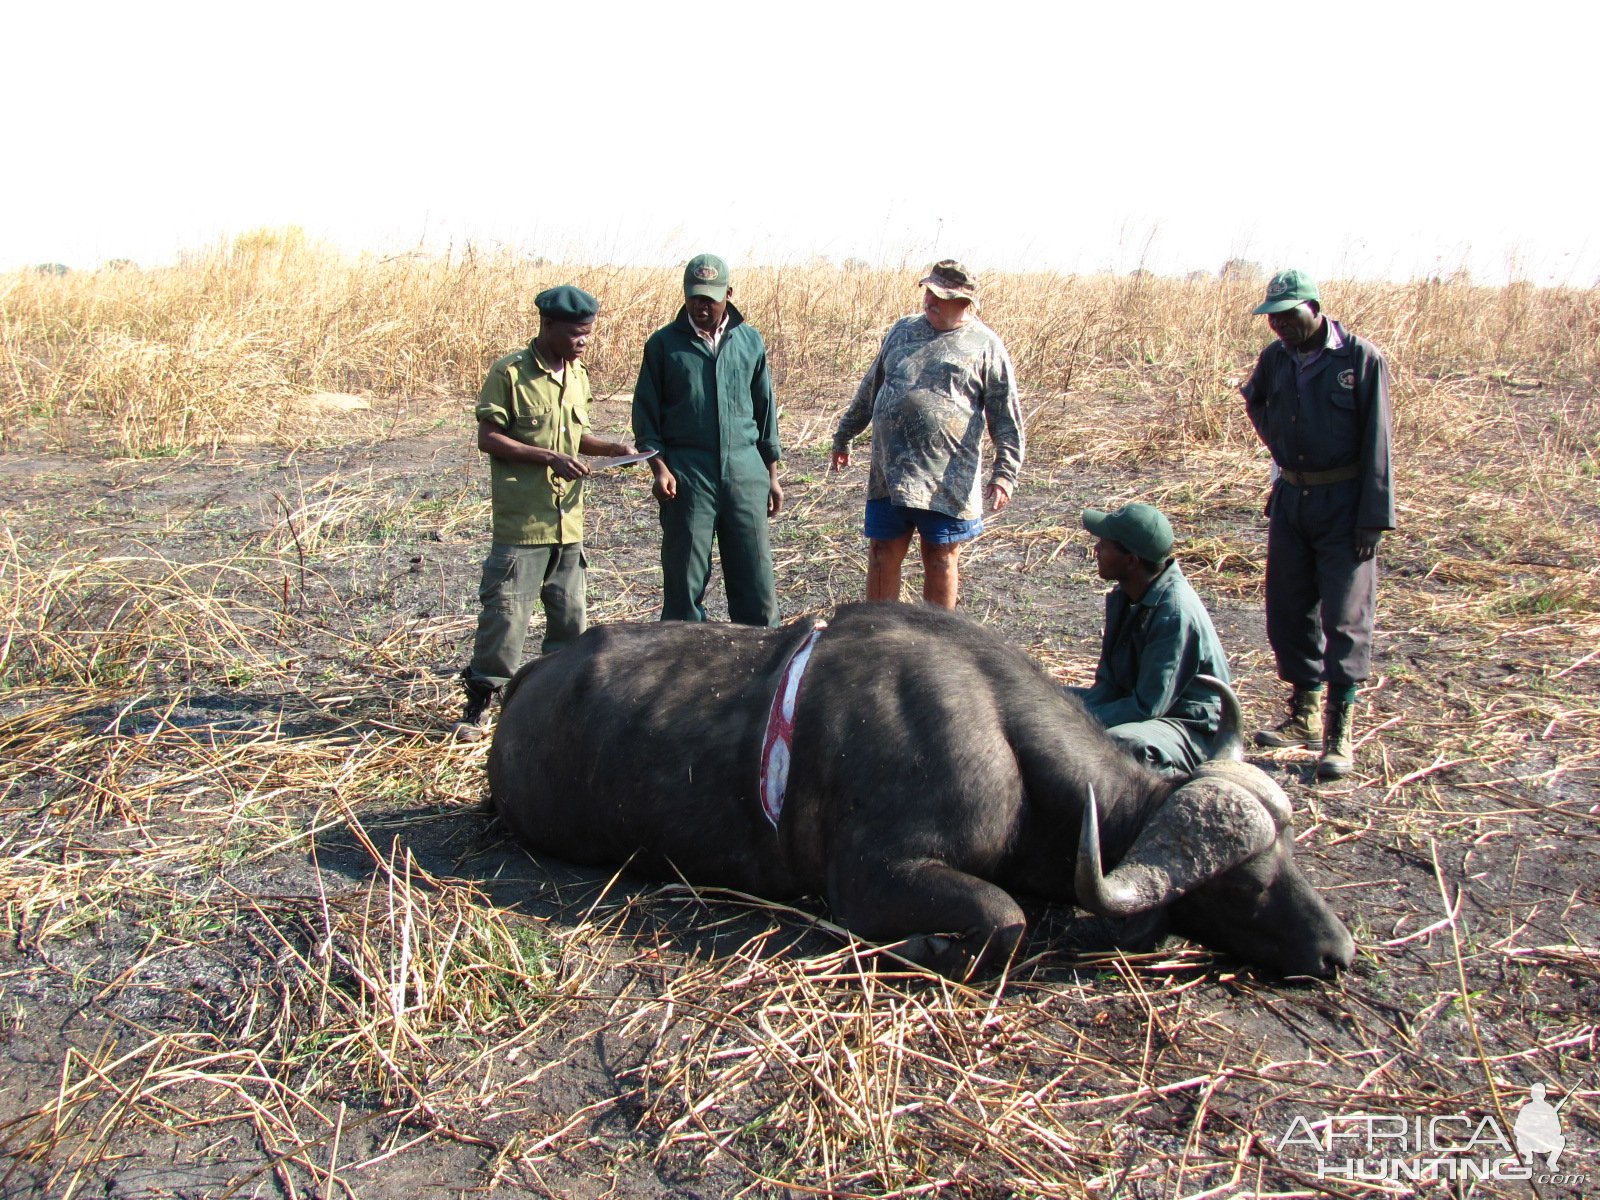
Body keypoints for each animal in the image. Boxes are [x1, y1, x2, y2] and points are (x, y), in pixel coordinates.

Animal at [483, 604, 1350, 979]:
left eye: (1293, 862)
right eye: (1243, 885)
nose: (1337, 953)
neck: (1008, 748)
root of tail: (527, 682)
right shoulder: (873, 881)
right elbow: (1004, 919)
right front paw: (926, 946)